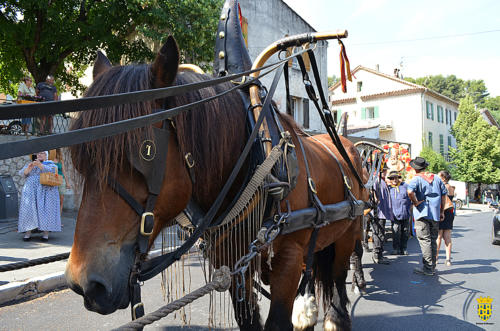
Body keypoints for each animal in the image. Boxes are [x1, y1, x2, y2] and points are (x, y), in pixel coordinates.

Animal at [64, 35, 366, 330]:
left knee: (338, 278)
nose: (86, 284)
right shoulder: (232, 261)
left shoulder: (289, 260)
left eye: (146, 152)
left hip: (348, 232)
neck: (259, 164)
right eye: (79, 160)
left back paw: (336, 316)